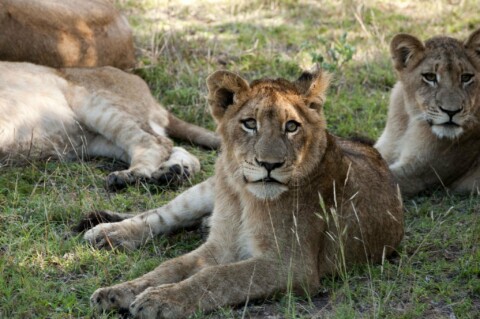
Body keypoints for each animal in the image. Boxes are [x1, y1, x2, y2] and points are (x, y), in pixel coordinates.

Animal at [0, 61, 219, 189]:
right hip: (92, 142)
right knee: (173, 146)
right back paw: (174, 172)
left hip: (94, 102)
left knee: (153, 141)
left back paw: (132, 175)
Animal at [88, 67, 404, 318]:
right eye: (250, 123)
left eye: (292, 126)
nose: (269, 164)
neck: (245, 199)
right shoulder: (220, 246)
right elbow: (171, 266)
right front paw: (119, 291)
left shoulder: (292, 265)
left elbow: (217, 277)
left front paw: (160, 300)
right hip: (205, 189)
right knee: (162, 215)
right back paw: (107, 233)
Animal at [376, 28, 480, 198]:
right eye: (430, 77)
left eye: (466, 77)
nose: (451, 111)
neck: (410, 119)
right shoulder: (385, 149)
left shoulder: (416, 174)